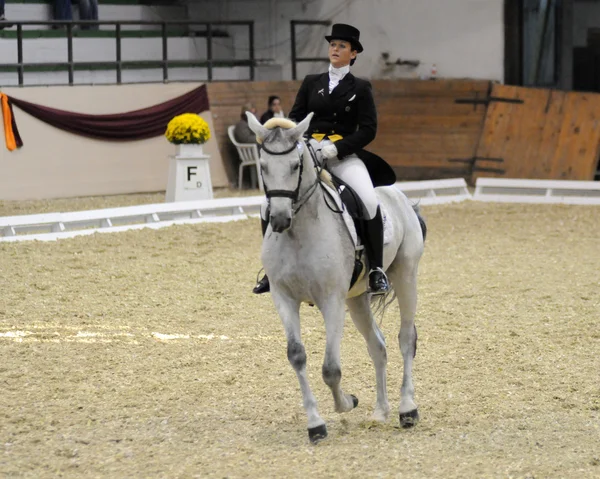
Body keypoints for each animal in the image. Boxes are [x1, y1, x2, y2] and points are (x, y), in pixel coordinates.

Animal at [247, 111, 426, 442]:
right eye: (262, 167)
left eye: (295, 165)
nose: (279, 220)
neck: (299, 233)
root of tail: (399, 195)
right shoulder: (283, 297)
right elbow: (296, 355)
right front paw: (315, 424)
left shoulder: (330, 300)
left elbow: (331, 368)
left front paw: (347, 403)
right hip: (356, 299)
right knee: (378, 347)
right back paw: (380, 412)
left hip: (406, 275)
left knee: (406, 338)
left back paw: (407, 409)